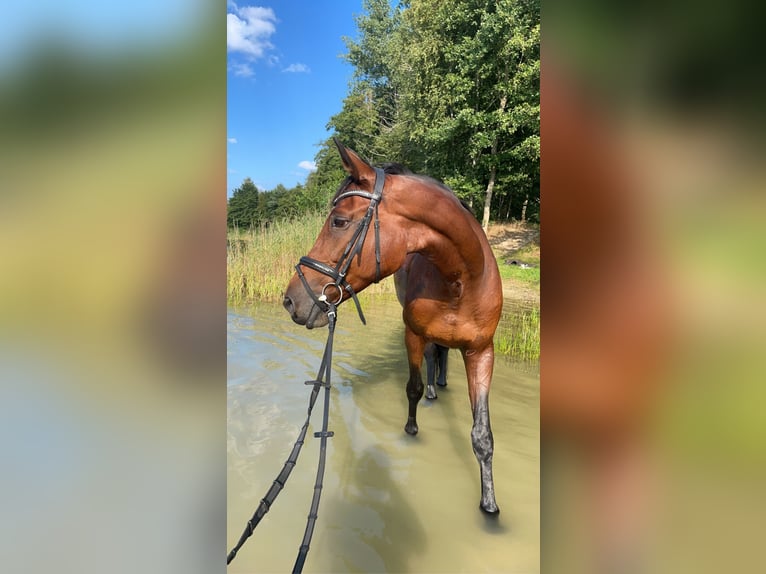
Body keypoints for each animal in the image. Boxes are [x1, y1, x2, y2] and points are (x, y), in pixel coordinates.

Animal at [283, 139, 504, 514]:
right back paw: (434, 389)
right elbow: (413, 386)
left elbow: (482, 433)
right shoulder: (413, 334)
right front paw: (412, 429)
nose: (291, 300)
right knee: (432, 358)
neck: (462, 281)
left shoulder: (481, 352)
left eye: (339, 221)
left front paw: (489, 503)